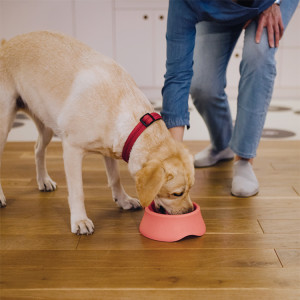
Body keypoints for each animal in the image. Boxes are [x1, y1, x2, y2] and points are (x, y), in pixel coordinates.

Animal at [0, 32, 195, 234]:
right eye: (177, 193)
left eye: (191, 188)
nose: (189, 211)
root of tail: (7, 43)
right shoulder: (72, 150)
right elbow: (77, 192)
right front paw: (80, 220)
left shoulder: (110, 149)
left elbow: (115, 178)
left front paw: (123, 200)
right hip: (4, 123)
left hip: (46, 125)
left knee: (38, 149)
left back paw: (44, 180)